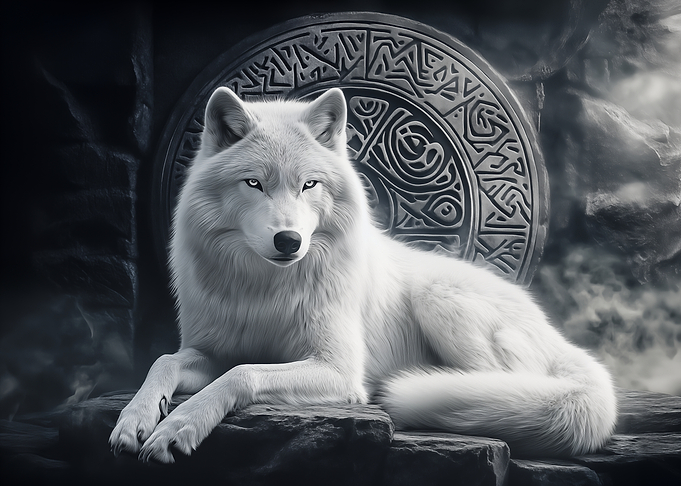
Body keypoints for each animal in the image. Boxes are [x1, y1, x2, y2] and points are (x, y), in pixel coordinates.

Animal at [109, 87, 617, 463]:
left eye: (308, 185)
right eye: (254, 183)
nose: (289, 241)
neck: (265, 289)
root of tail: (558, 338)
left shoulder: (338, 370)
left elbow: (243, 374)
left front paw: (178, 426)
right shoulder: (208, 350)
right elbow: (164, 361)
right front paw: (136, 419)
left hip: (441, 299)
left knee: (500, 388)